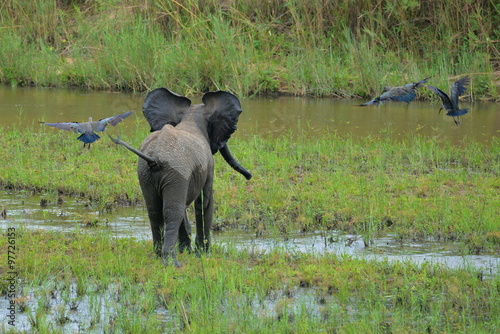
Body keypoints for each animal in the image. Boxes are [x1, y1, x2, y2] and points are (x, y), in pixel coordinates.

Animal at [110, 88, 249, 266]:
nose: (249, 177)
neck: (191, 116)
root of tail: (155, 157)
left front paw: (187, 251)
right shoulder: (208, 166)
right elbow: (205, 202)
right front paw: (203, 253)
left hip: (146, 174)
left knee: (154, 211)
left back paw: (158, 255)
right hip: (174, 172)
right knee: (172, 212)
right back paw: (171, 262)